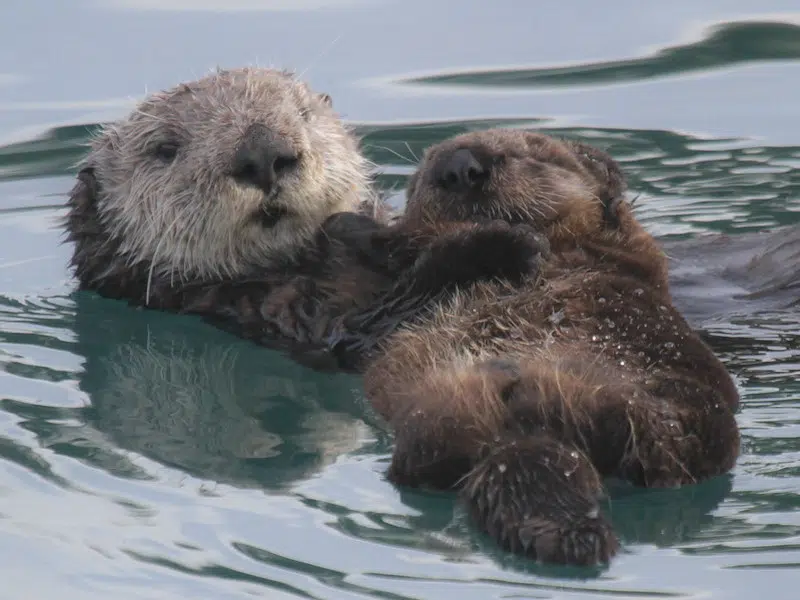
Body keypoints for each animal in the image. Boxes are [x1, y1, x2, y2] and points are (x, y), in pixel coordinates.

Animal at [322, 129, 740, 566]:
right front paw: (501, 243)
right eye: (422, 174)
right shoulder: (361, 326)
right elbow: (368, 319)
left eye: (529, 154)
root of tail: (528, 441)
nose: (460, 168)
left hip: (698, 415)